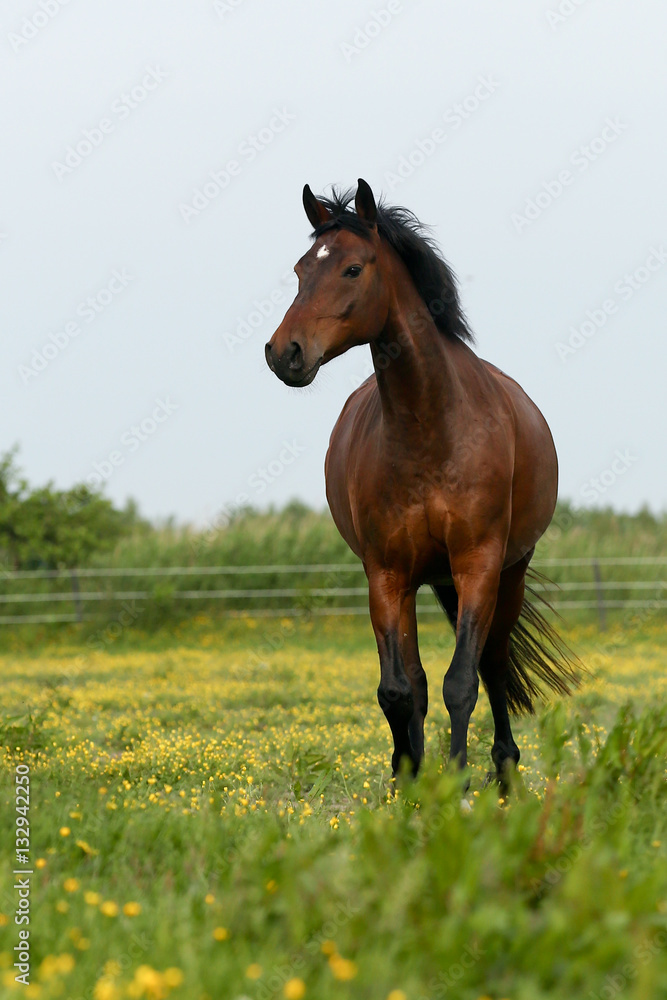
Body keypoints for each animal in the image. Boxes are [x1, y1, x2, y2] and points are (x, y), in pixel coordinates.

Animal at [266, 180, 580, 788]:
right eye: (299, 269)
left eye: (352, 269)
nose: (282, 353)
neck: (430, 429)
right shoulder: (387, 573)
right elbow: (398, 689)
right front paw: (406, 781)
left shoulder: (478, 563)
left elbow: (463, 681)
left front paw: (457, 781)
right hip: (419, 581)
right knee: (415, 679)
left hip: (508, 573)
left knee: (493, 663)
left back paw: (505, 770)